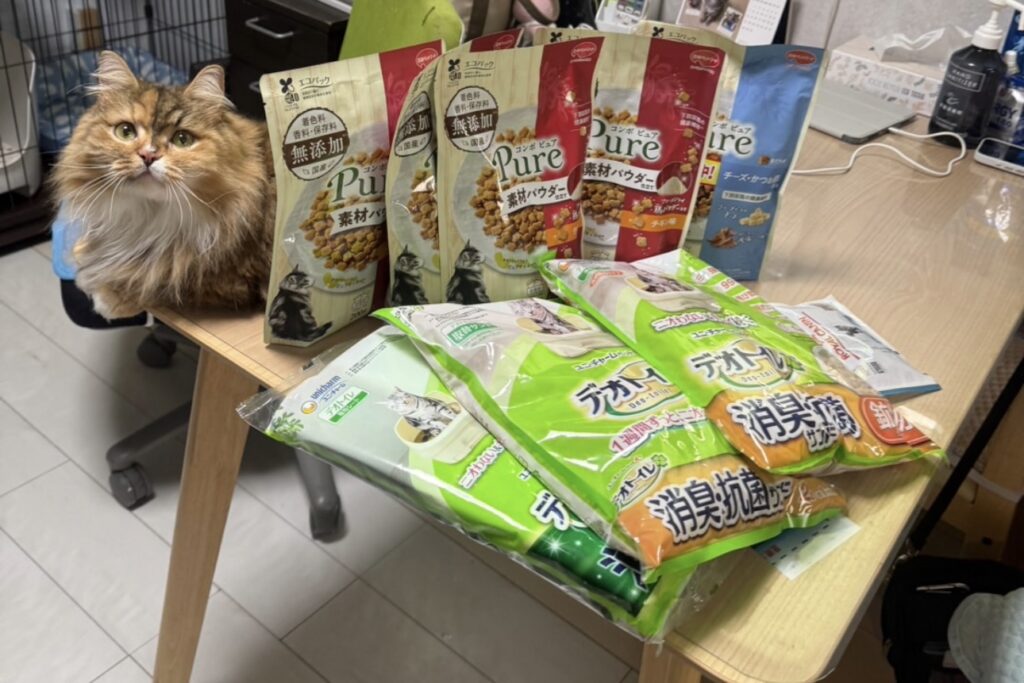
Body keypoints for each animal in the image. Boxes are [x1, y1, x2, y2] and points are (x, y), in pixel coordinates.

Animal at [53, 51, 274, 319]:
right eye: (125, 131)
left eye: (182, 139)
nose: (148, 155)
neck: (150, 216)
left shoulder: (226, 281)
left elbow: (151, 281)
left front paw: (104, 295)